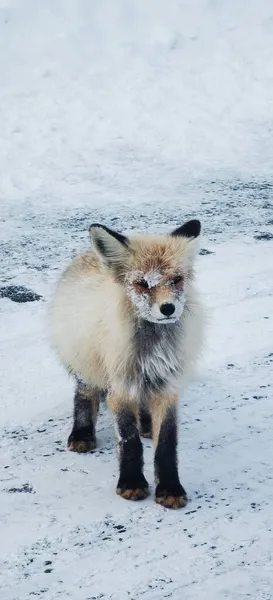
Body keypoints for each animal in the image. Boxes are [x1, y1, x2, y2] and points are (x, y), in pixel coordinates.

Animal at [50, 218, 204, 508]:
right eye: (143, 283)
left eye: (176, 279)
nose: (168, 309)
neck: (151, 348)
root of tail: (87, 255)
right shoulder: (120, 387)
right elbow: (128, 440)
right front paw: (131, 484)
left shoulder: (166, 384)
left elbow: (166, 444)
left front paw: (170, 488)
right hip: (87, 365)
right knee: (84, 395)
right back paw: (82, 434)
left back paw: (146, 424)